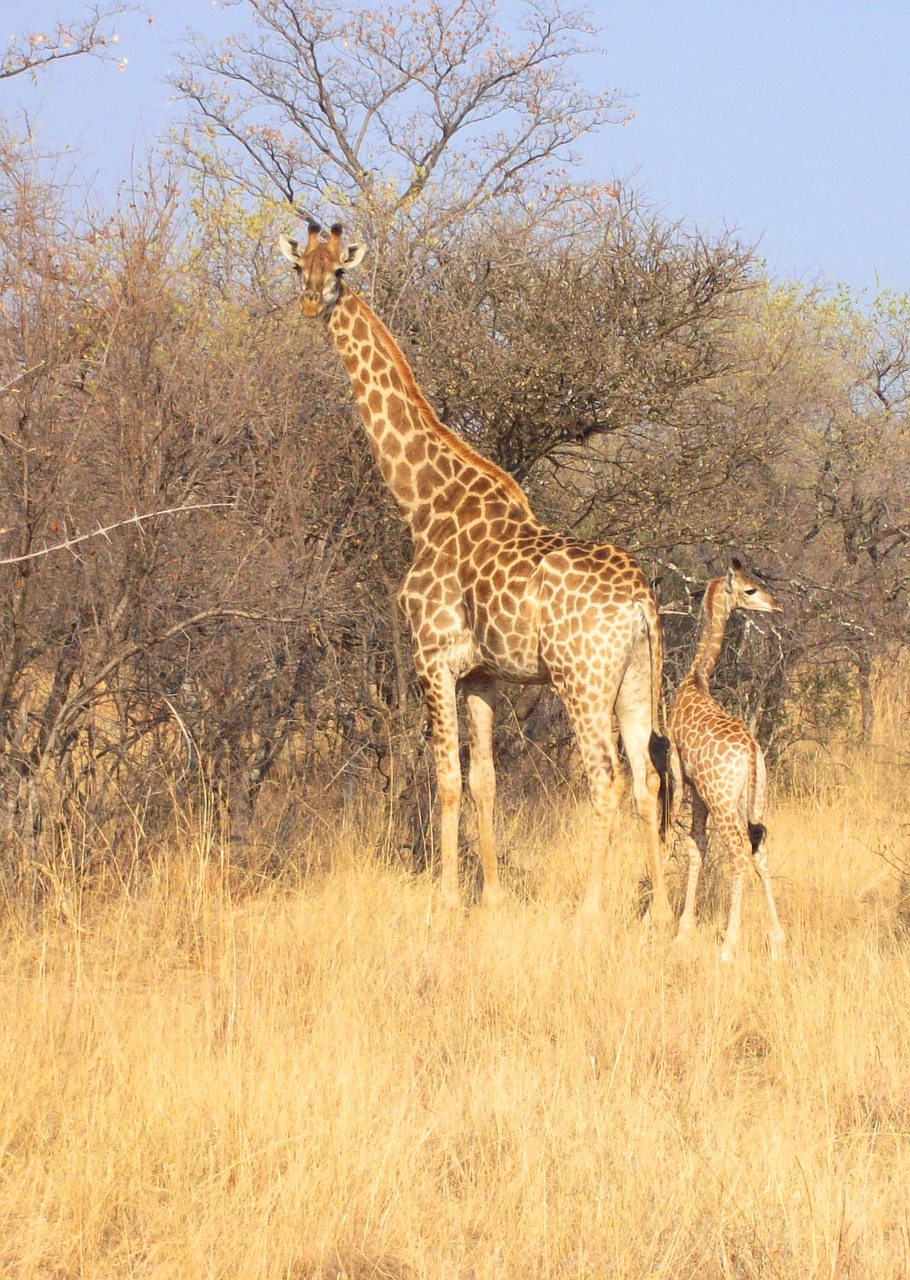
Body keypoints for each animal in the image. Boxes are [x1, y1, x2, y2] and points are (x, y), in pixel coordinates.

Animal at [281, 222, 670, 921]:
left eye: (337, 272)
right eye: (301, 266)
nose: (309, 302)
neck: (424, 502)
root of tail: (641, 602)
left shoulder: (432, 658)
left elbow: (445, 780)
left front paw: (444, 898)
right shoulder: (484, 676)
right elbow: (486, 781)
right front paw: (489, 896)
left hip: (581, 679)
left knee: (605, 778)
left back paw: (589, 911)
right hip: (633, 679)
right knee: (647, 776)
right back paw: (663, 915)